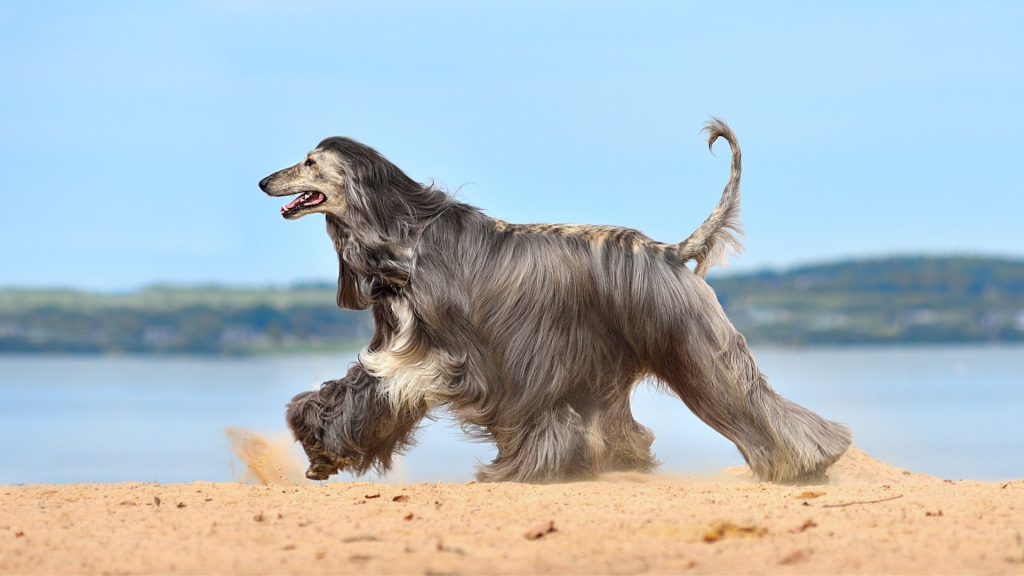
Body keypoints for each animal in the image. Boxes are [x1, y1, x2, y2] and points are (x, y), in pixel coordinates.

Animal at [260, 118, 851, 481]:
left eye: (309, 162)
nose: (265, 180)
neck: (404, 240)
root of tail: (668, 251)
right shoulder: (404, 347)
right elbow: (359, 387)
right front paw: (319, 444)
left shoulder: (459, 356)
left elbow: (393, 387)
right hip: (612, 362)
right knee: (624, 425)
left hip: (692, 344)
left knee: (748, 398)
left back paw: (809, 462)